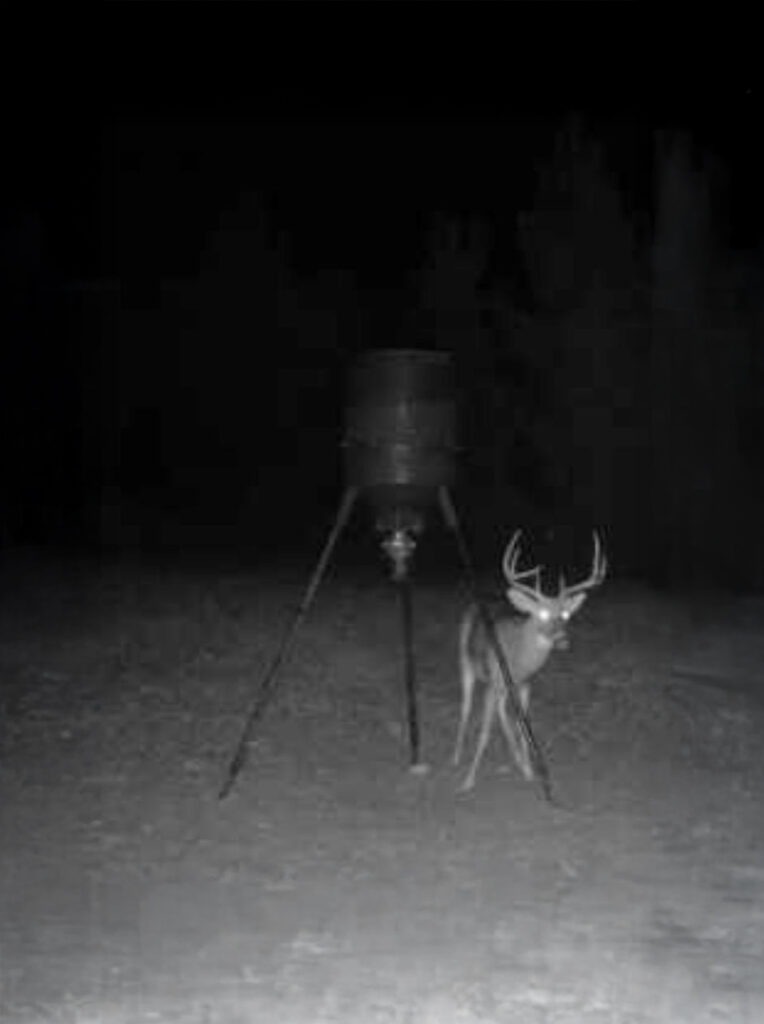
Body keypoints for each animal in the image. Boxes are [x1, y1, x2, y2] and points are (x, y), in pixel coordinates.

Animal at [453, 529, 607, 792]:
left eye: (565, 614)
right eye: (542, 613)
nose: (562, 639)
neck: (517, 661)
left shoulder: (526, 684)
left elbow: (523, 726)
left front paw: (529, 770)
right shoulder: (493, 683)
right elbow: (484, 732)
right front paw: (468, 780)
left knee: (503, 712)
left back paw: (518, 760)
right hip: (466, 662)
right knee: (465, 709)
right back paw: (455, 756)